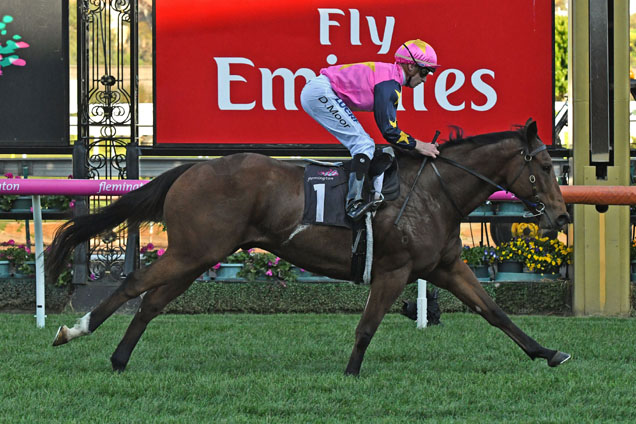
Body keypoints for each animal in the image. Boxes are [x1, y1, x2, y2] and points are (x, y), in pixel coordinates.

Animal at [48, 118, 572, 374]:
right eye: (546, 166)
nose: (562, 216)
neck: (434, 190)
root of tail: (192, 168)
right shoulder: (394, 269)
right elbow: (367, 326)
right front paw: (351, 373)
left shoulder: (445, 266)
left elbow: (495, 312)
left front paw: (548, 353)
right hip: (190, 253)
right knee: (134, 284)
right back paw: (73, 331)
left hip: (196, 257)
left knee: (151, 303)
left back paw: (119, 360)